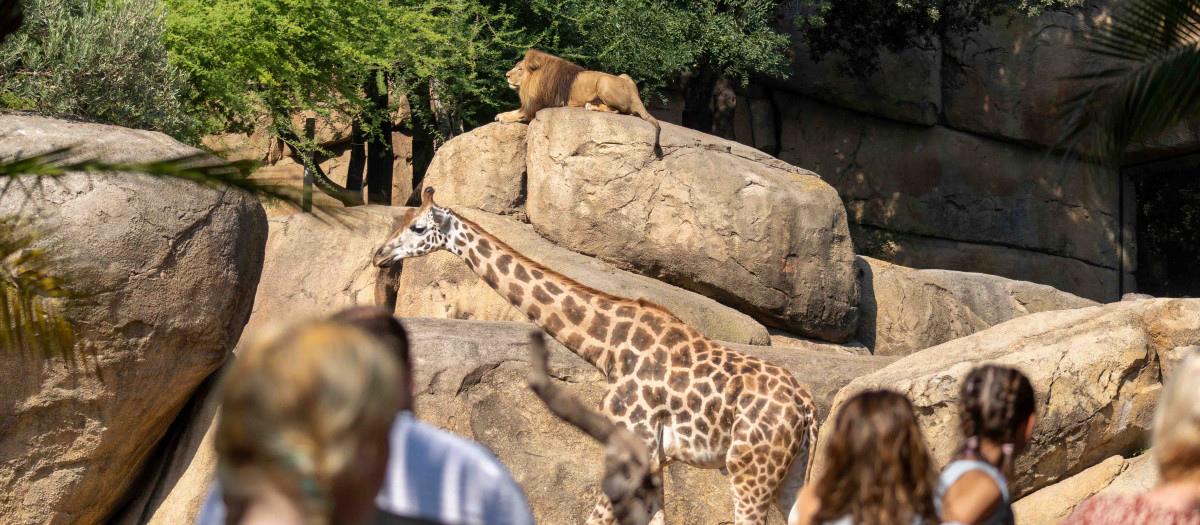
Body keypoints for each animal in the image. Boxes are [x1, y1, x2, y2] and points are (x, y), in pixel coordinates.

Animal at [373, 187, 820, 525]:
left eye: (417, 226)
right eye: (401, 220)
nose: (379, 254)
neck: (609, 346)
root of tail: (808, 409)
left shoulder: (631, 448)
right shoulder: (654, 460)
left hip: (750, 473)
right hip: (791, 475)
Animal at [496, 49, 662, 158]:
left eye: (519, 69)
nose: (506, 75)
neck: (532, 80)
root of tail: (635, 94)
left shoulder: (540, 104)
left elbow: (519, 112)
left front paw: (503, 117)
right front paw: (501, 115)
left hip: (603, 80)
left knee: (617, 111)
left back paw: (591, 105)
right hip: (624, 75)